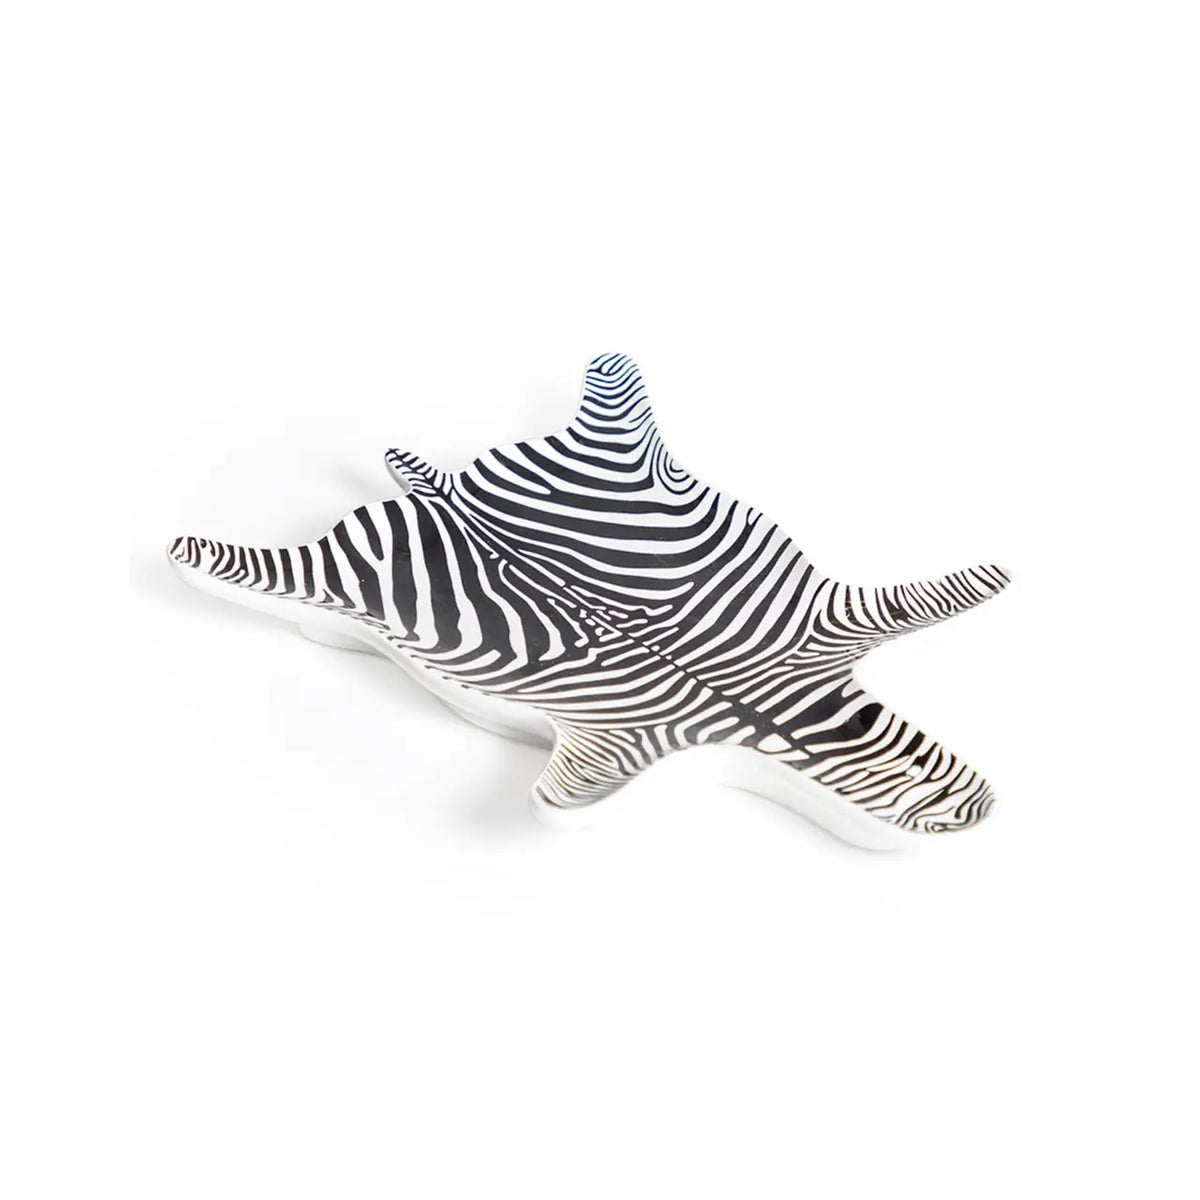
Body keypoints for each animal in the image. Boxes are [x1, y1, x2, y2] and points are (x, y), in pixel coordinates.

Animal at [168, 353, 1009, 846]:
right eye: (936, 808)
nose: (963, 814)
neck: (770, 715)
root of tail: (446, 492)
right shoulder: (620, 741)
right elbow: (571, 794)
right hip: (333, 594)